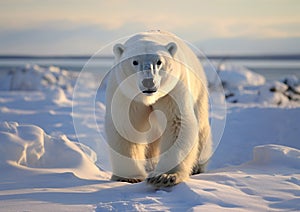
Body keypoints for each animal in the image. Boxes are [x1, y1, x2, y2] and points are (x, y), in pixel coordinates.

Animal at [104, 30, 212, 188]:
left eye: (159, 62)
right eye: (135, 62)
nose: (149, 82)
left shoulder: (173, 89)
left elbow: (177, 123)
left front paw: (165, 176)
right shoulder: (124, 91)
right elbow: (125, 126)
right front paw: (129, 177)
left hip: (199, 91)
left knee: (202, 127)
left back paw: (197, 167)